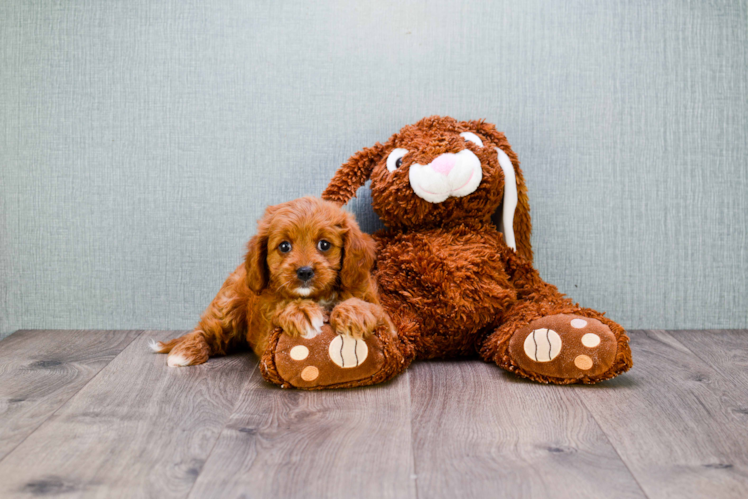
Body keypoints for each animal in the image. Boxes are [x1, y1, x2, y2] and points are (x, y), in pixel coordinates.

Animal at [150, 196, 388, 368]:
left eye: (324, 244)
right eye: (284, 246)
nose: (304, 272)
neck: (316, 295)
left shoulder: (386, 320)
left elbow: (372, 309)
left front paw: (354, 313)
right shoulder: (266, 337)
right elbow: (281, 309)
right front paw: (301, 311)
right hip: (227, 307)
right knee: (206, 331)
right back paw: (184, 352)